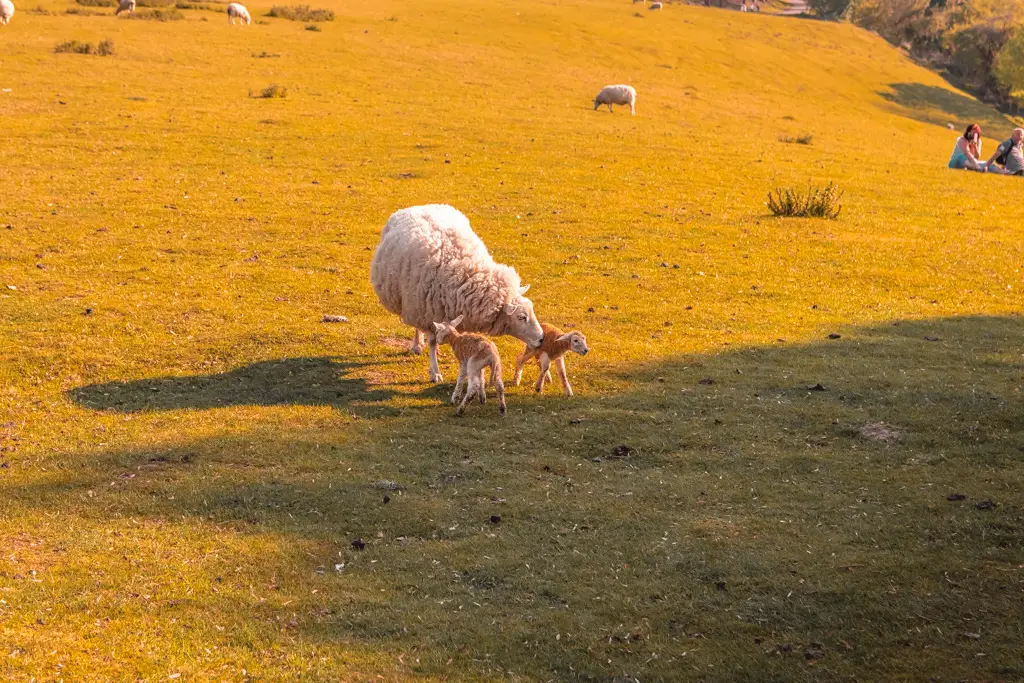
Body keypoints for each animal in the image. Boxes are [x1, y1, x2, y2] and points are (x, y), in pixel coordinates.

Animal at [368, 202, 544, 385]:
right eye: (521, 317)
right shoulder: (426, 313)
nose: (541, 338)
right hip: (413, 301)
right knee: (417, 327)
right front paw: (435, 372)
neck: (463, 274)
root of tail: (422, 205)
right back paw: (417, 344)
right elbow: (432, 342)